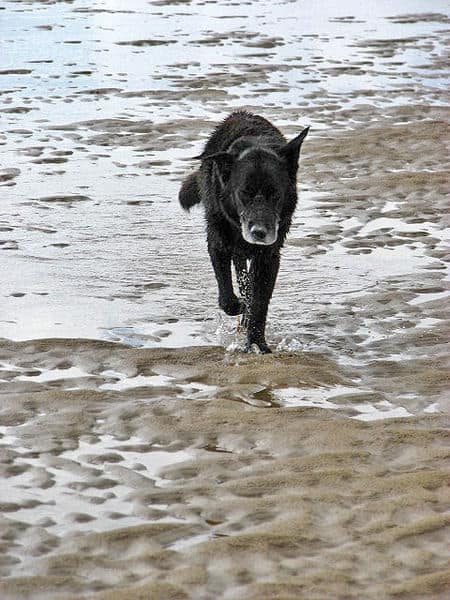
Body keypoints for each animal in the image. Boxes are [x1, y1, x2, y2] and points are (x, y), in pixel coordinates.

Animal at [179, 111, 310, 352]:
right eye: (244, 193)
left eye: (275, 193)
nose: (259, 232)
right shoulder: (218, 244)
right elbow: (227, 298)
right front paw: (239, 306)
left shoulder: (268, 257)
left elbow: (259, 303)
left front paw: (257, 343)